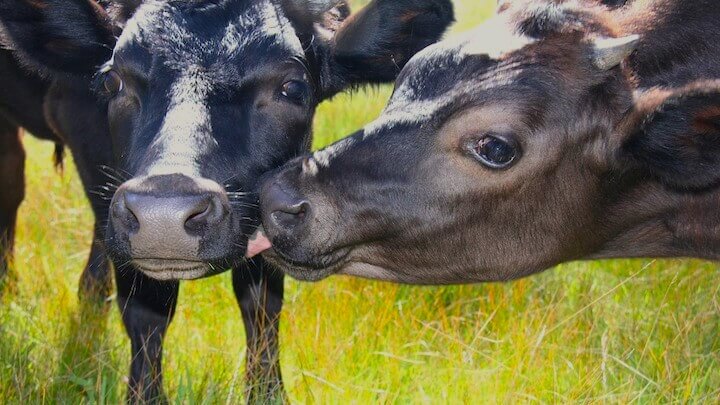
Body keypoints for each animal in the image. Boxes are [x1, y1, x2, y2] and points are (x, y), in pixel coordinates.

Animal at [0, 0, 452, 400]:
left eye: (292, 88)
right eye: (113, 82)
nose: (163, 213)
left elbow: (262, 305)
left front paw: (268, 393)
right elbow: (146, 313)